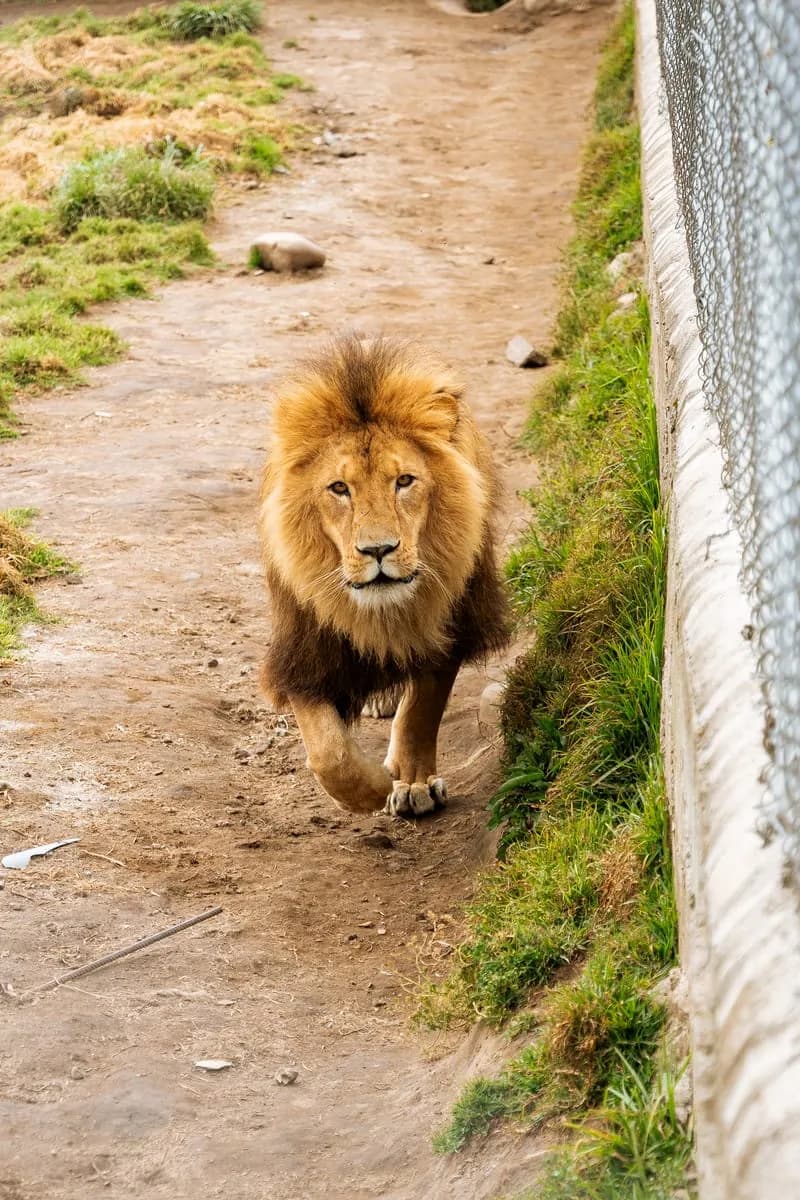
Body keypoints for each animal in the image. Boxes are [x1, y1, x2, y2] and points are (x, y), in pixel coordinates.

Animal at [258, 335, 510, 817]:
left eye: (405, 481)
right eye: (339, 488)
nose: (378, 550)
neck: (382, 613)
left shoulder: (453, 621)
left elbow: (423, 709)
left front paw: (411, 782)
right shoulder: (304, 650)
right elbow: (329, 751)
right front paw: (372, 789)